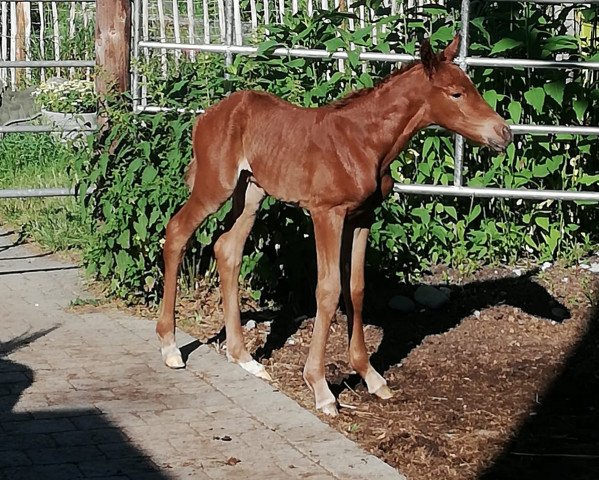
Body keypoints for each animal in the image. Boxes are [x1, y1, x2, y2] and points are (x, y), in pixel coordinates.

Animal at [157, 35, 512, 414]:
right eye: (456, 93)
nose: (504, 133)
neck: (364, 142)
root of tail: (208, 115)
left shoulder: (362, 217)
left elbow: (355, 288)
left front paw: (371, 376)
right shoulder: (327, 213)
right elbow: (328, 291)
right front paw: (320, 387)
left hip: (250, 192)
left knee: (228, 249)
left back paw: (244, 357)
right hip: (215, 186)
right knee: (177, 233)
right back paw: (170, 346)